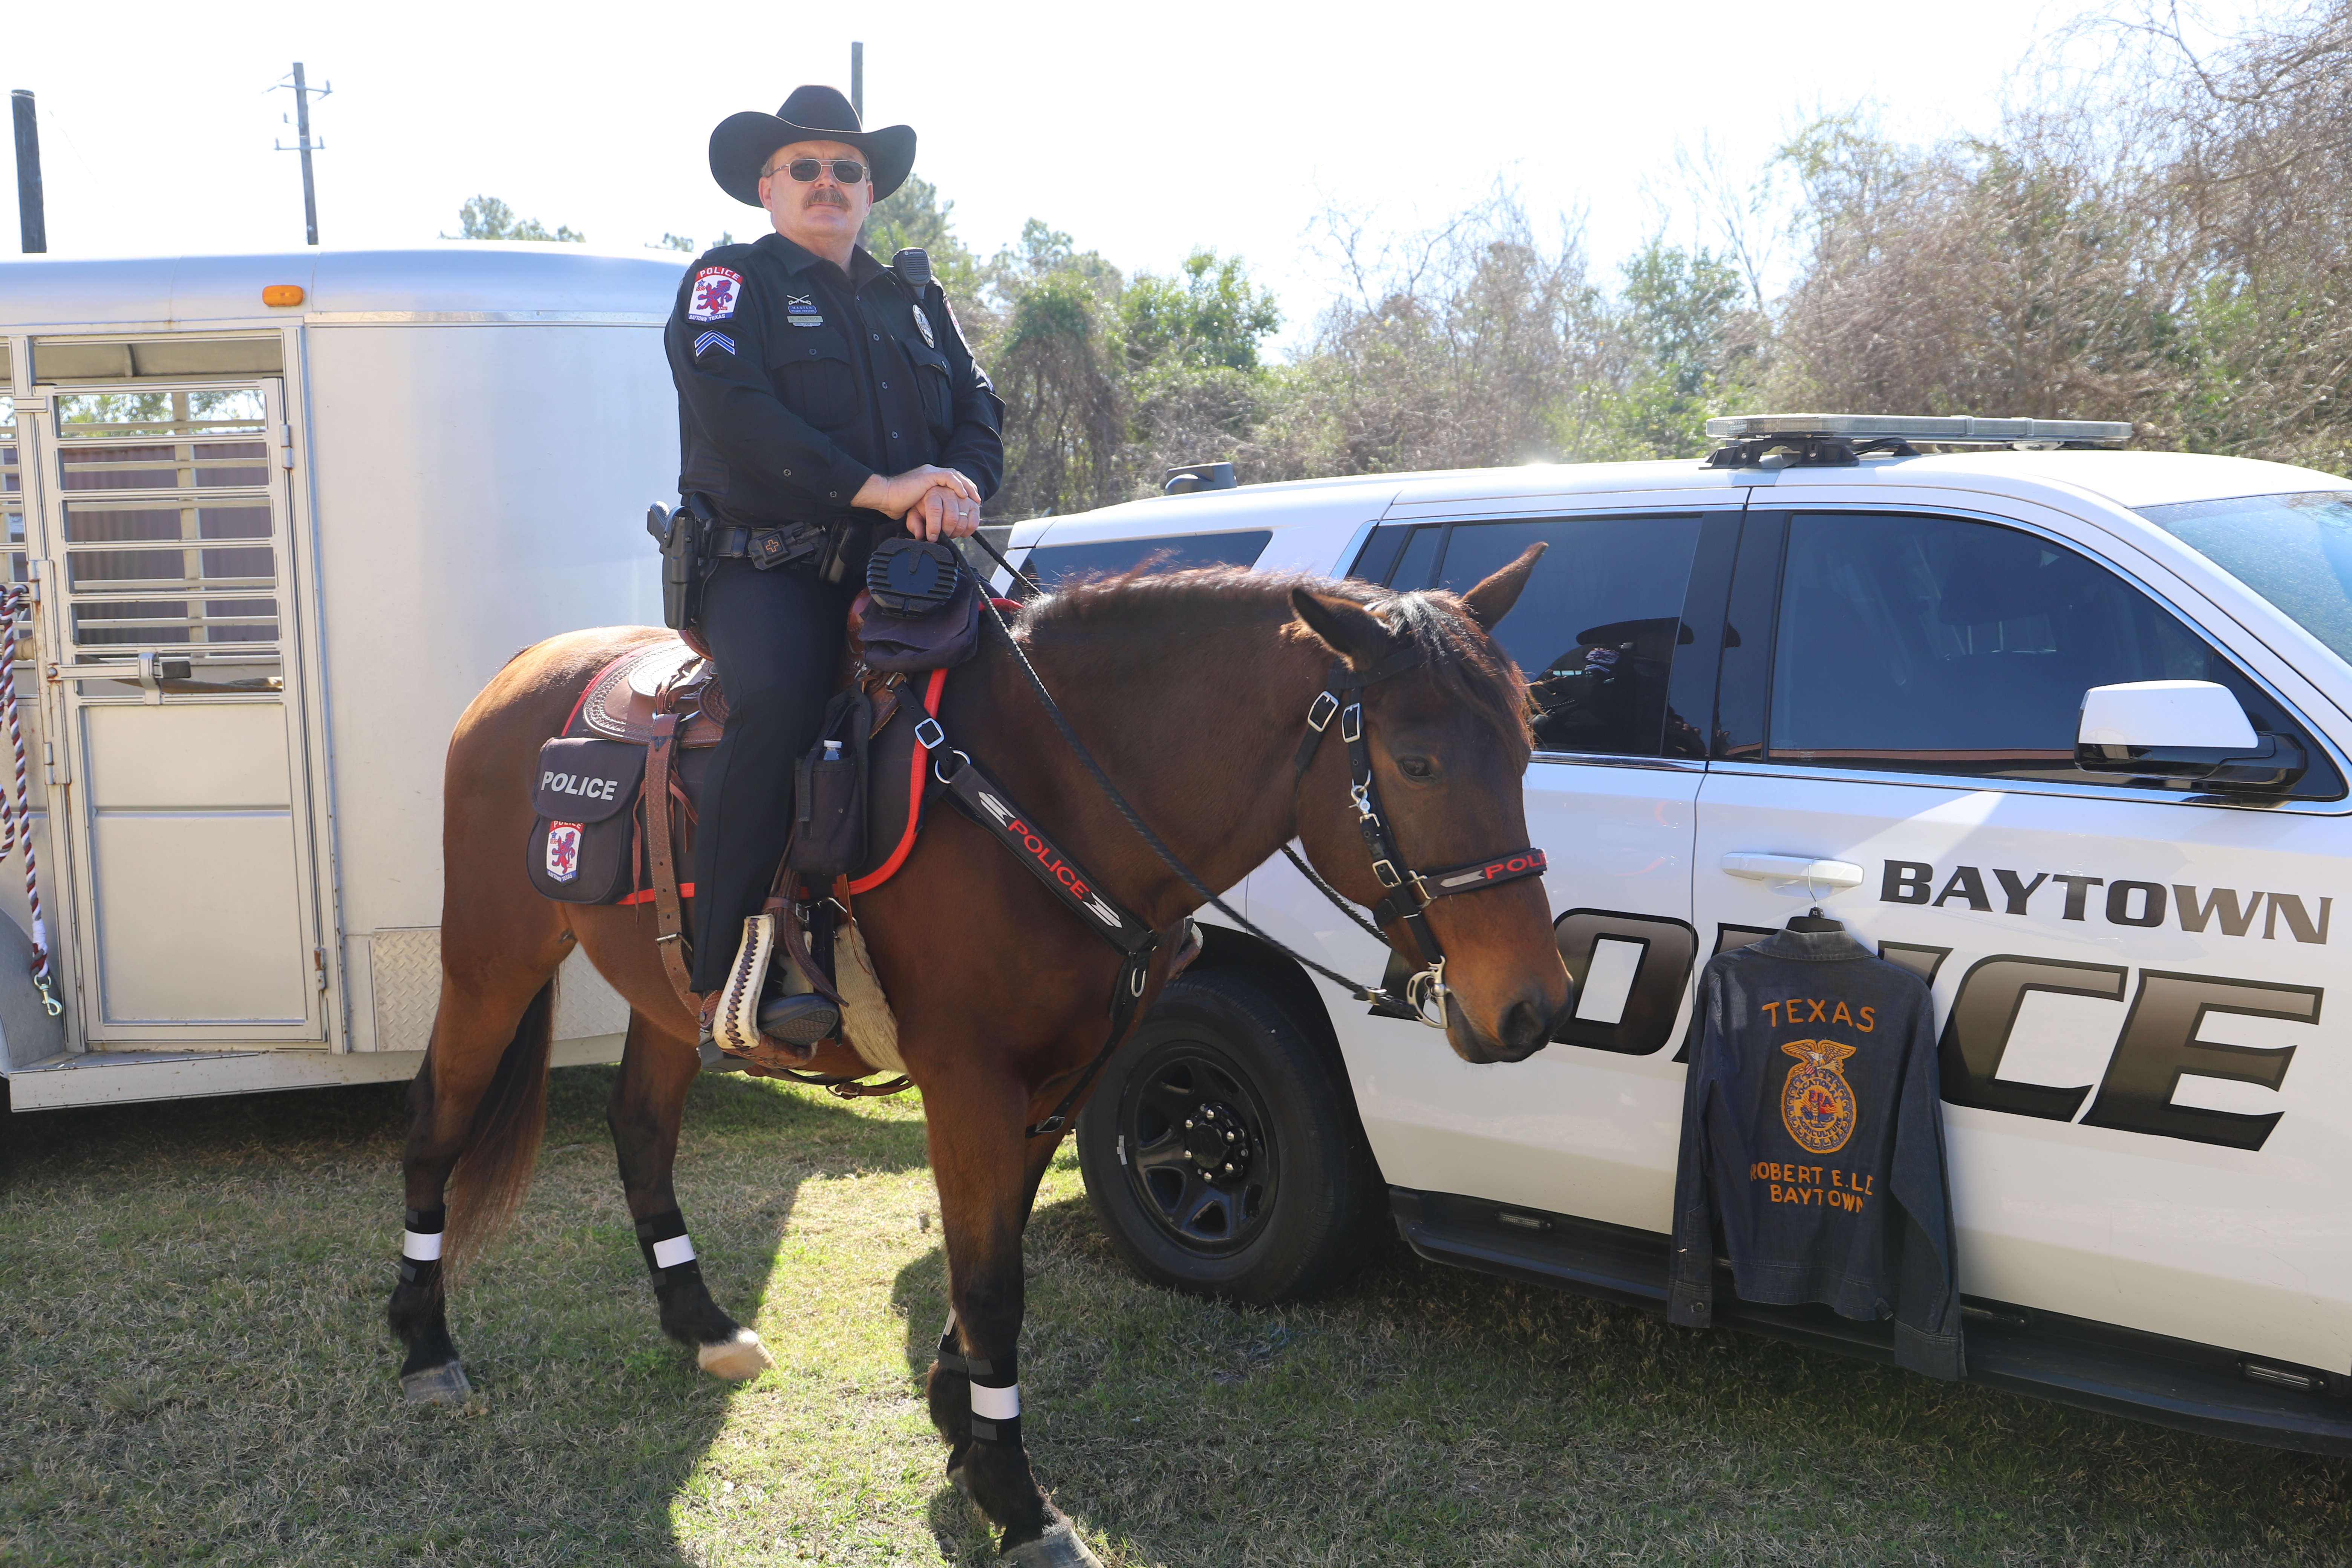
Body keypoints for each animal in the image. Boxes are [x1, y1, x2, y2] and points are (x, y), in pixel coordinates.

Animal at [390, 550, 1562, 1561]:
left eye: (1528, 743)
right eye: (1416, 761)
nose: (1535, 1003)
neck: (1044, 792)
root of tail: (522, 673)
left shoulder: (1058, 1083)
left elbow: (984, 1261)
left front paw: (962, 1421)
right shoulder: (969, 1085)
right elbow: (994, 1283)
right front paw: (1015, 1493)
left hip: (676, 997)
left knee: (638, 1129)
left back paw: (703, 1324)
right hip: (492, 959)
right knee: (437, 1122)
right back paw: (424, 1346)